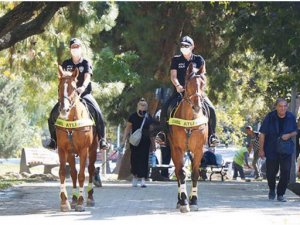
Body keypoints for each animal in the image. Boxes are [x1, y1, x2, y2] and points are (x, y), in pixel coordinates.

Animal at [55, 66, 98, 212]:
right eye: (59, 87)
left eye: (74, 88)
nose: (64, 109)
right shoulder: (62, 150)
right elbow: (63, 173)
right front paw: (65, 202)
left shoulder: (84, 150)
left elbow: (82, 175)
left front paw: (80, 202)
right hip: (71, 153)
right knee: (73, 172)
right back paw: (73, 199)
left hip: (93, 150)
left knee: (90, 169)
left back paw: (89, 198)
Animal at [169, 62, 209, 213]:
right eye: (188, 84)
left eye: (203, 84)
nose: (197, 106)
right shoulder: (178, 149)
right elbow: (181, 173)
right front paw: (184, 202)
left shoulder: (198, 150)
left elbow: (195, 174)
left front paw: (194, 201)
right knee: (177, 171)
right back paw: (179, 200)